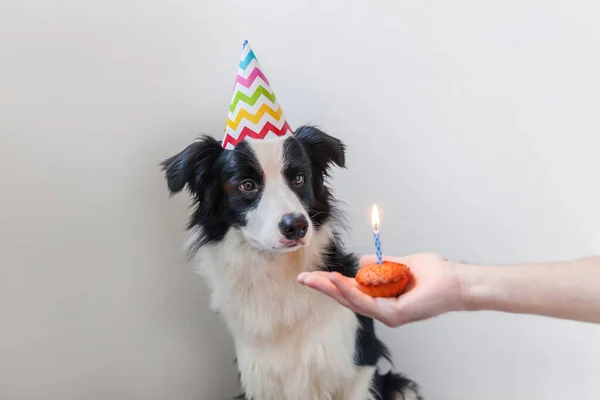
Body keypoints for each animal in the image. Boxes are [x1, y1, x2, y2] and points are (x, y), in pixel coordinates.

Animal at [161, 126, 422, 400]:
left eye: (298, 178)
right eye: (247, 185)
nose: (296, 226)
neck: (278, 271)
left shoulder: (357, 365)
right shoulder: (260, 378)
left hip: (401, 386)